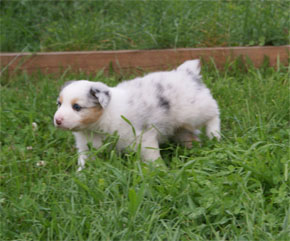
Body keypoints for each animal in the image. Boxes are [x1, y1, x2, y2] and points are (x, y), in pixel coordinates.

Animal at [53, 59, 220, 170]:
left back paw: (214, 135)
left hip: (195, 111)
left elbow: (153, 157)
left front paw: (161, 170)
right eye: (59, 103)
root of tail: (187, 73)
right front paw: (80, 175)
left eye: (76, 107)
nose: (57, 120)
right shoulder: (86, 146)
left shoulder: (143, 138)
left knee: (214, 113)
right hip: (180, 126)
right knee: (188, 135)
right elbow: (84, 161)